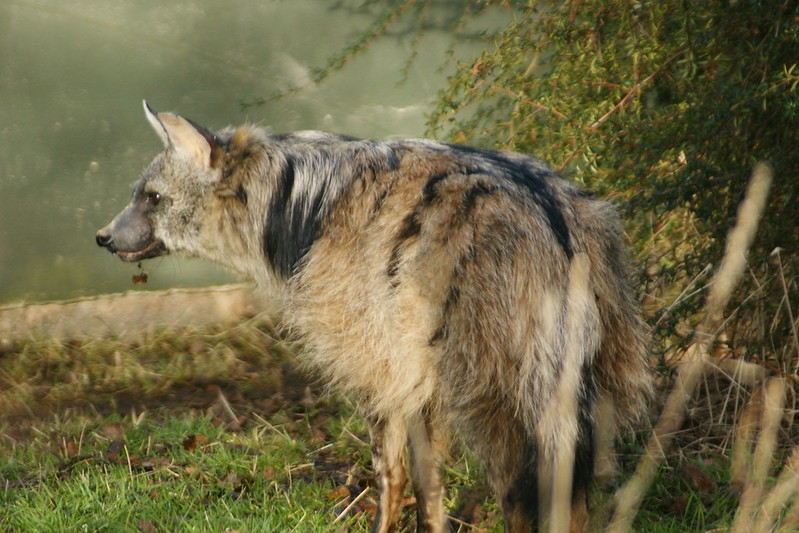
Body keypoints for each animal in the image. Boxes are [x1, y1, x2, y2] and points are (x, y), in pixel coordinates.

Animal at [96, 102, 651, 532]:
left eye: (153, 198)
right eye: (138, 195)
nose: (102, 237)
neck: (299, 208)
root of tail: (552, 222)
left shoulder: (377, 359)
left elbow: (391, 473)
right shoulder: (417, 366)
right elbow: (429, 480)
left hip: (495, 385)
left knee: (520, 489)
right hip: (594, 378)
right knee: (569, 496)